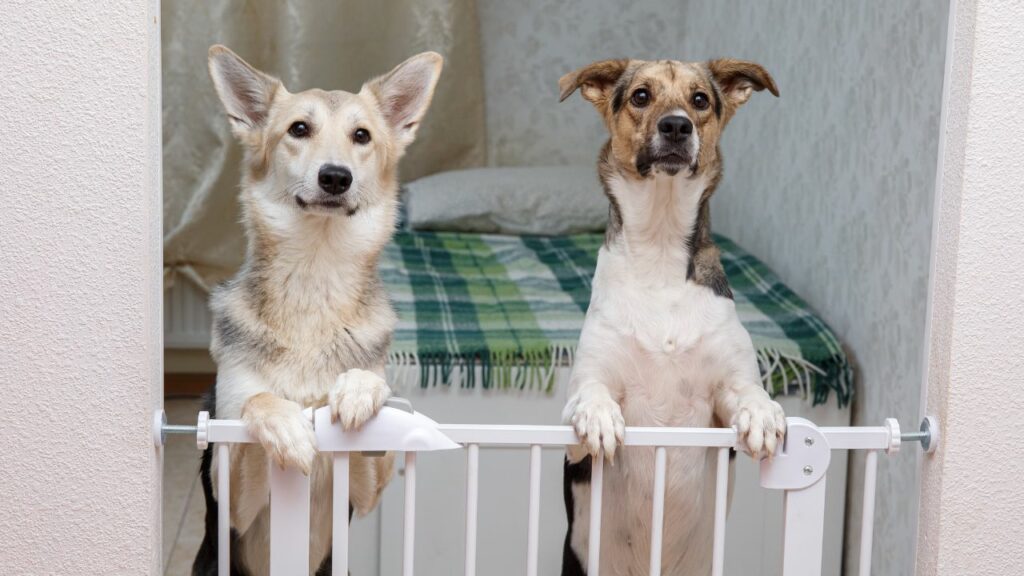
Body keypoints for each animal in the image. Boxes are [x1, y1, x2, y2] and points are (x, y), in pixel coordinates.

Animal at [193, 45, 442, 573]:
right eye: (299, 129)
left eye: (361, 135)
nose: (335, 176)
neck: (314, 275)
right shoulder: (232, 497)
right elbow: (257, 400)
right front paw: (288, 426)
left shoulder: (363, 492)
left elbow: (372, 403)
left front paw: (358, 391)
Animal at [557, 59, 786, 573]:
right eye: (641, 96)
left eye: (700, 99)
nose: (677, 126)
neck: (660, 250)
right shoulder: (574, 431)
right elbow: (590, 397)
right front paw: (600, 417)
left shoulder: (723, 398)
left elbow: (749, 393)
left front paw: (763, 414)